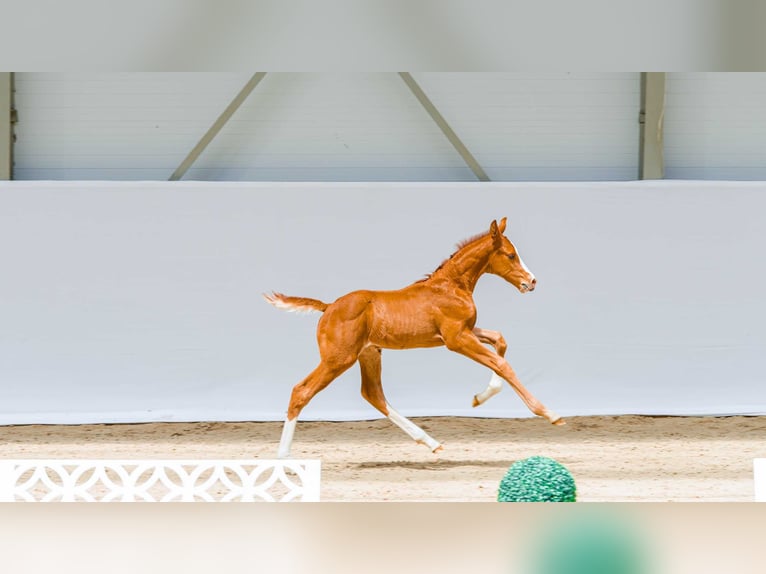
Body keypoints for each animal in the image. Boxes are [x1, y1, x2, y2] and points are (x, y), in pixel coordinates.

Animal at [264, 217, 564, 458]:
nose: (532, 282)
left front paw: (479, 399)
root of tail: (327, 307)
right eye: (511, 255)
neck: (451, 286)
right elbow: (501, 364)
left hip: (368, 353)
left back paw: (431, 442)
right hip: (338, 359)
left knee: (373, 394)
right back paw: (283, 457)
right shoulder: (456, 339)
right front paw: (550, 414)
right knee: (301, 391)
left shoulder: (463, 331)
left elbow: (500, 340)